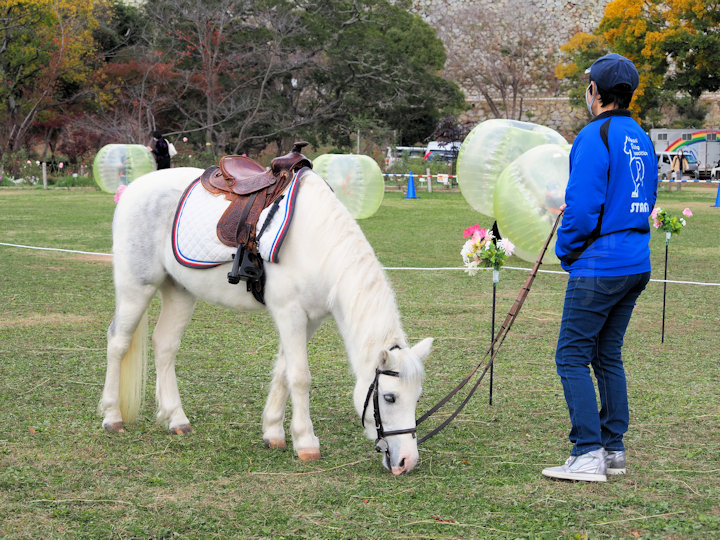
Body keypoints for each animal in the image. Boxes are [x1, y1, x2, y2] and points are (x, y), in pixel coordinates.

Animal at [100, 167, 434, 474]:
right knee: (118, 342)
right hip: (136, 288)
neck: (317, 243)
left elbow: (283, 371)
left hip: (179, 291)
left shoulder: (309, 320)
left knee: (165, 346)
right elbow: (299, 377)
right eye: (389, 397)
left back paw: (176, 418)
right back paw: (112, 416)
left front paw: (273, 433)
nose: (407, 461)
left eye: (417, 398)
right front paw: (306, 442)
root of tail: (132, 189)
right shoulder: (290, 313)